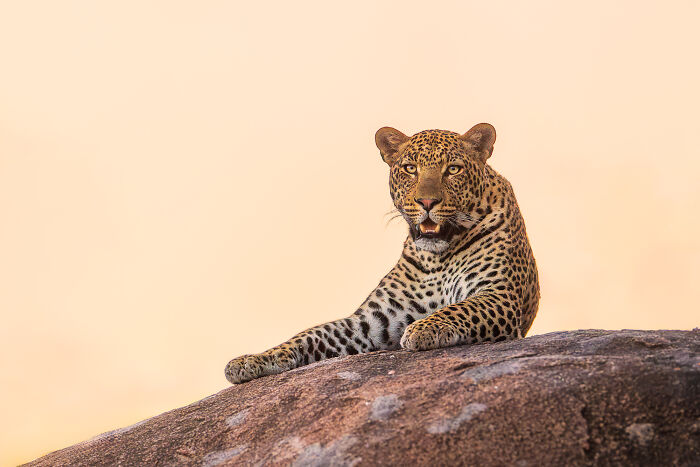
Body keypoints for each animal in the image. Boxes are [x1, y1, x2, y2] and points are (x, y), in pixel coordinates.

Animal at [225, 123, 539, 384]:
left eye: (453, 169)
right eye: (410, 168)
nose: (427, 202)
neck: (437, 258)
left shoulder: (499, 295)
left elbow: (460, 308)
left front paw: (423, 329)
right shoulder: (371, 322)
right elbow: (310, 334)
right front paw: (252, 360)